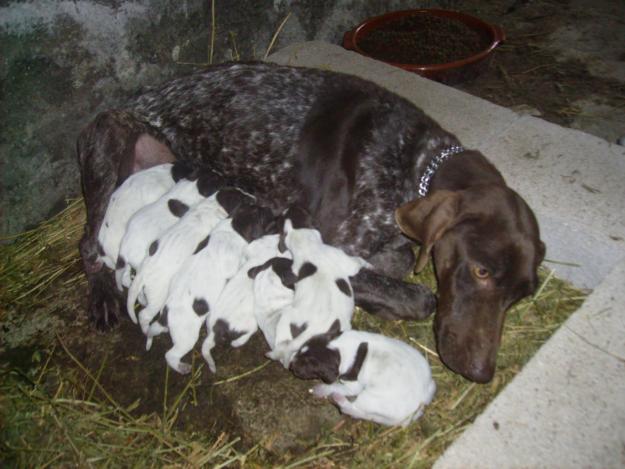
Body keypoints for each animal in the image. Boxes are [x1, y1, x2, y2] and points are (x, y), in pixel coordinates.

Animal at [124, 186, 251, 326]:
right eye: (242, 199)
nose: (254, 197)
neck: (213, 204)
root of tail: (142, 273)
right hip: (157, 298)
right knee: (144, 315)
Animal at [290, 330, 436, 428]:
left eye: (310, 364)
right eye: (300, 349)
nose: (291, 365)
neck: (343, 347)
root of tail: (415, 411)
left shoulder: (353, 385)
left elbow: (336, 386)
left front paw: (320, 389)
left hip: (369, 398)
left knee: (353, 409)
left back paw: (338, 399)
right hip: (431, 386)